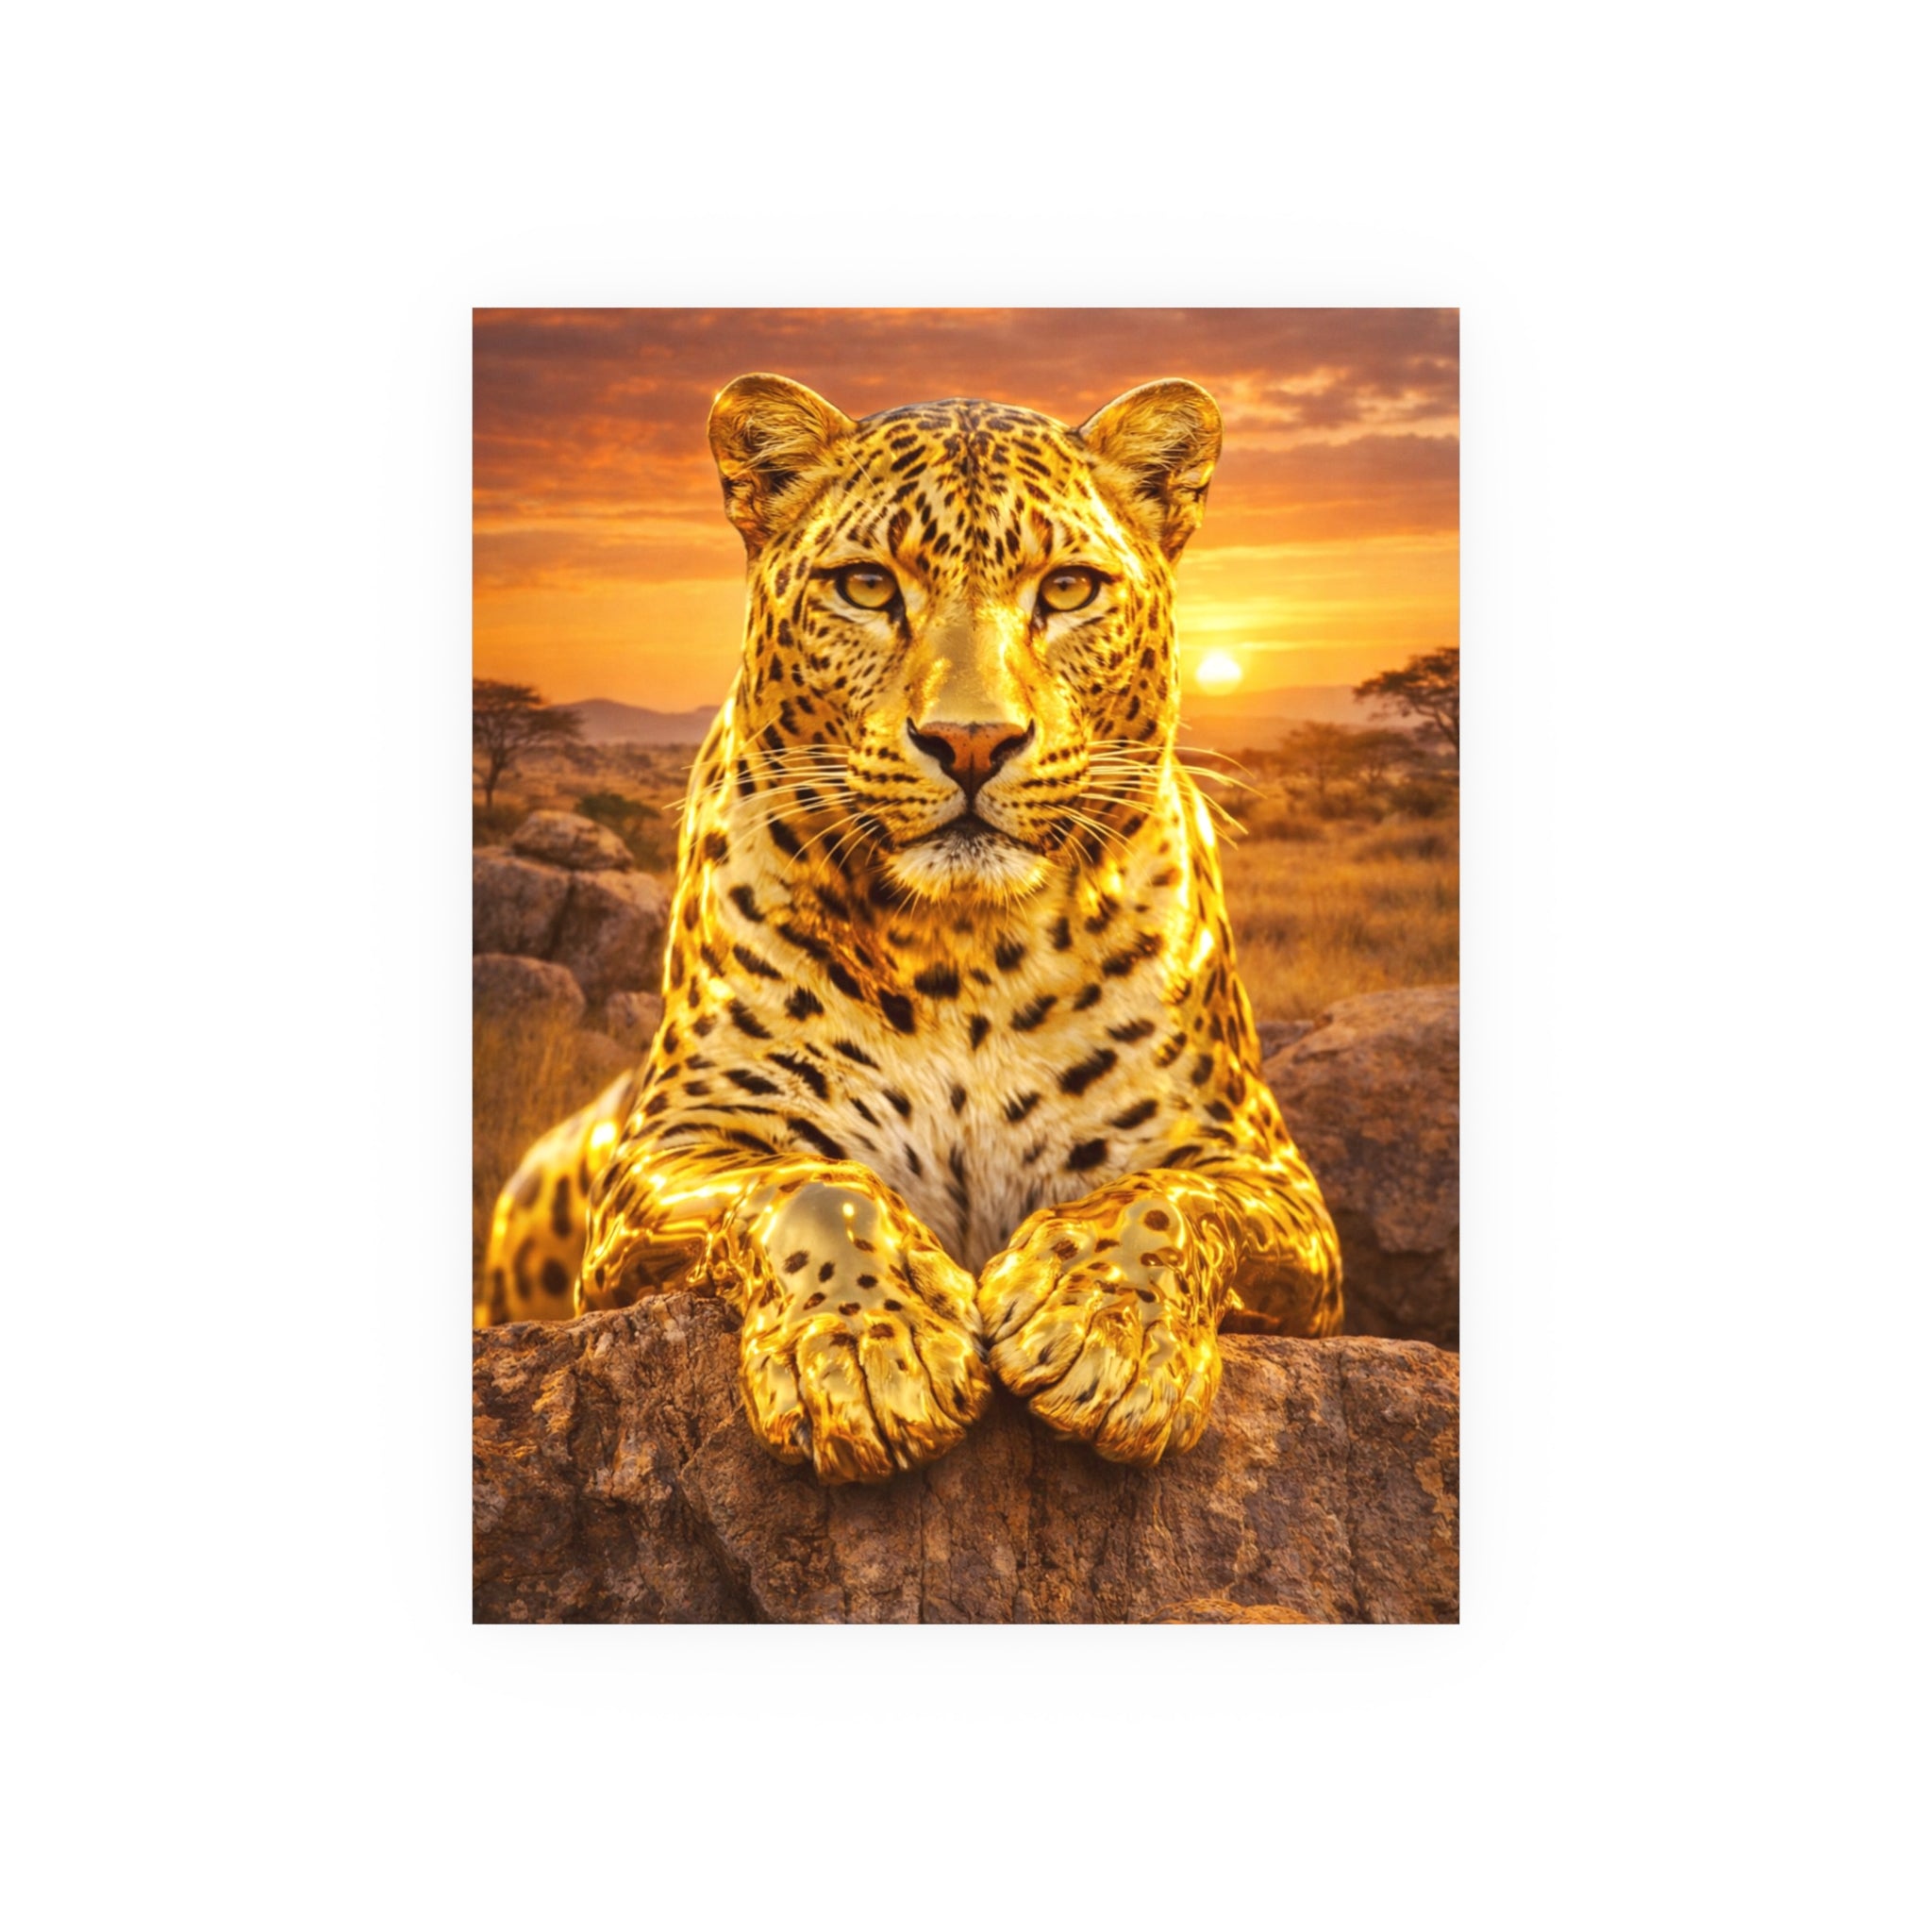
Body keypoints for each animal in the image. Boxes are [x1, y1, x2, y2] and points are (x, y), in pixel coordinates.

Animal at [480, 370, 1343, 1484]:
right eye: (865, 586)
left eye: (1068, 590)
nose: (970, 741)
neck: (964, 953)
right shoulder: (674, 1146)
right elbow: (809, 1180)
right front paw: (866, 1353)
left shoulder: (1259, 1167)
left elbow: (1159, 1199)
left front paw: (1103, 1334)